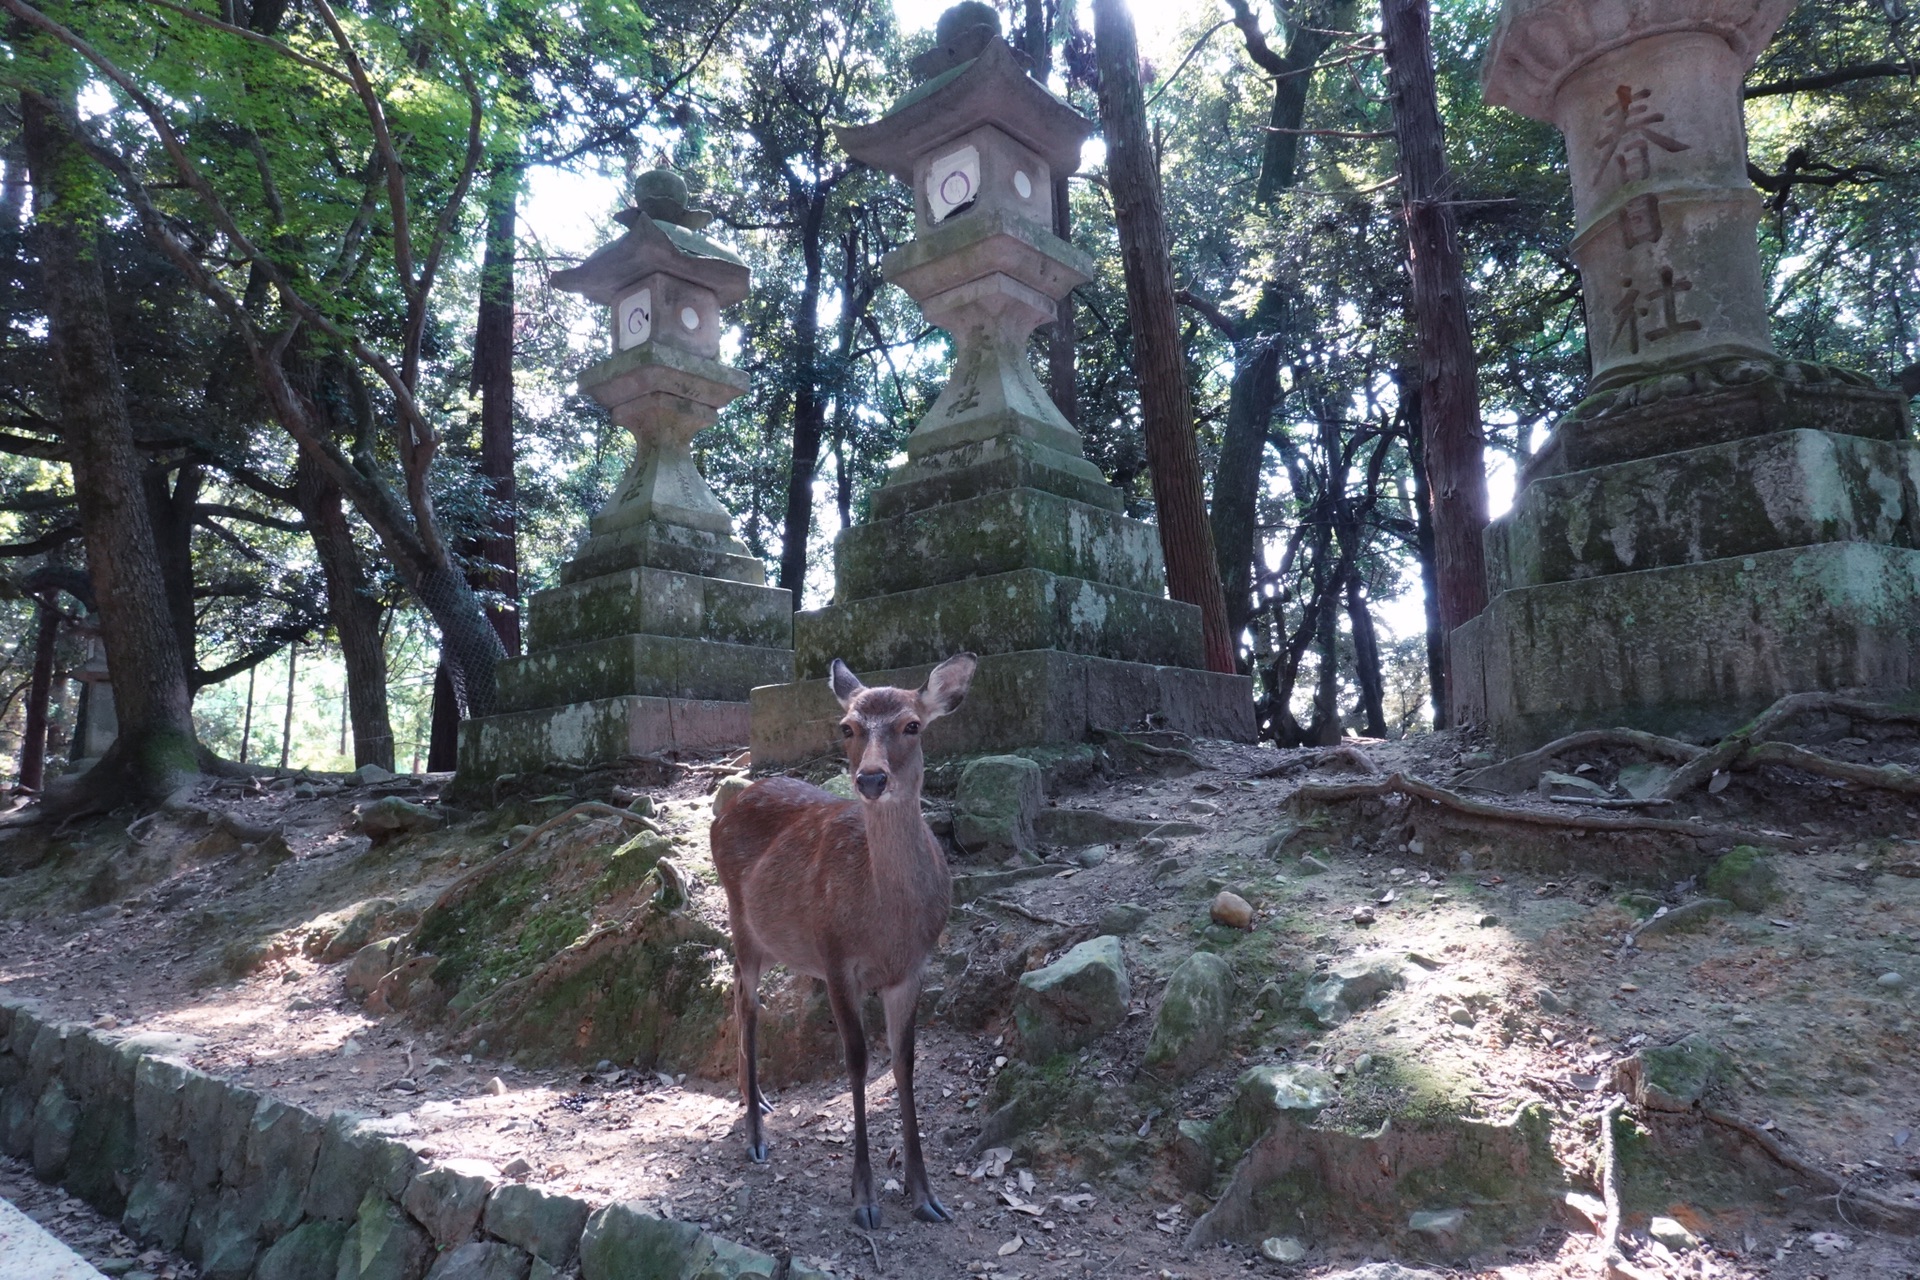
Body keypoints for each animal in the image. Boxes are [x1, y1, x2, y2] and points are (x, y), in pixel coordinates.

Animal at [710, 656, 975, 1228]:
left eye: (912, 725)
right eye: (847, 727)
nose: (871, 778)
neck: (886, 924)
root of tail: (728, 805)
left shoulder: (913, 968)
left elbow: (905, 1061)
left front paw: (925, 1194)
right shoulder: (836, 959)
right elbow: (856, 1060)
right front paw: (865, 1198)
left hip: (775, 939)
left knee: (736, 992)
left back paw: (753, 1096)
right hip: (740, 917)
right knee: (749, 1002)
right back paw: (755, 1134)